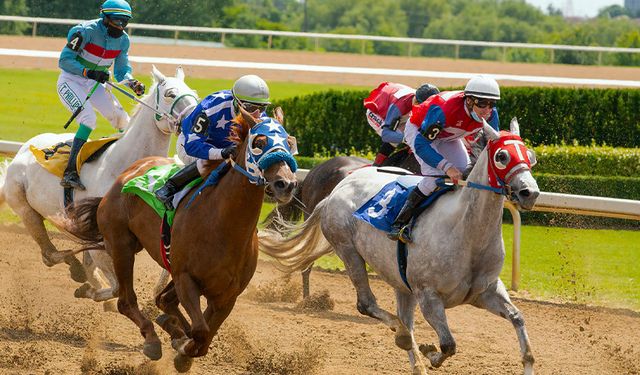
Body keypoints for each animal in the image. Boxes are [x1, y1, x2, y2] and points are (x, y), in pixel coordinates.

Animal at [0, 67, 198, 302]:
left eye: (194, 93)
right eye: (170, 93)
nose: (196, 119)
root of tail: (24, 149)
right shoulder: (104, 240)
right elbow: (115, 287)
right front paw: (92, 292)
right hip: (24, 207)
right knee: (49, 254)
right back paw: (74, 268)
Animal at [62, 109, 298, 374]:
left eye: (289, 143)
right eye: (259, 143)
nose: (286, 184)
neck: (224, 226)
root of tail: (128, 172)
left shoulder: (227, 295)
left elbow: (205, 336)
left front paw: (181, 344)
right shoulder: (185, 278)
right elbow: (200, 330)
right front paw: (182, 347)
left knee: (162, 301)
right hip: (122, 246)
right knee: (126, 301)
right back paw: (152, 339)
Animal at [260, 119, 540, 374]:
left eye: (530, 156)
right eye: (502, 156)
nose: (530, 193)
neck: (467, 234)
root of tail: (337, 189)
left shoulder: (486, 292)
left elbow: (518, 320)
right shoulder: (429, 296)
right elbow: (448, 344)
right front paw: (430, 352)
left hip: (399, 279)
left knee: (404, 318)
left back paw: (414, 360)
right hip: (347, 249)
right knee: (369, 305)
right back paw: (400, 334)